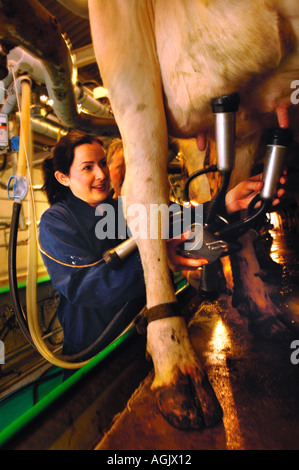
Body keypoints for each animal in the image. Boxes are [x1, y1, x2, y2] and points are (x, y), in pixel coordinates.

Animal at [59, 0, 298, 430]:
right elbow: (145, 192)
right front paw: (177, 368)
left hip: (237, 115)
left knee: (214, 188)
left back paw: (251, 301)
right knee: (150, 185)